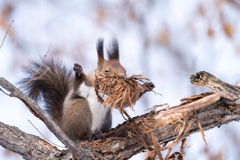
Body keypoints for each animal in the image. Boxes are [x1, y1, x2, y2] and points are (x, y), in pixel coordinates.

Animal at [21, 38, 156, 144]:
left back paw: (102, 133)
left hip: (107, 118)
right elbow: (79, 87)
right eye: (107, 71)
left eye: (125, 71)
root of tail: (64, 129)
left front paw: (145, 86)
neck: (105, 91)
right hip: (80, 110)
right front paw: (79, 72)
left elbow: (124, 104)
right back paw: (89, 136)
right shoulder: (87, 86)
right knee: (80, 135)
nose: (122, 77)